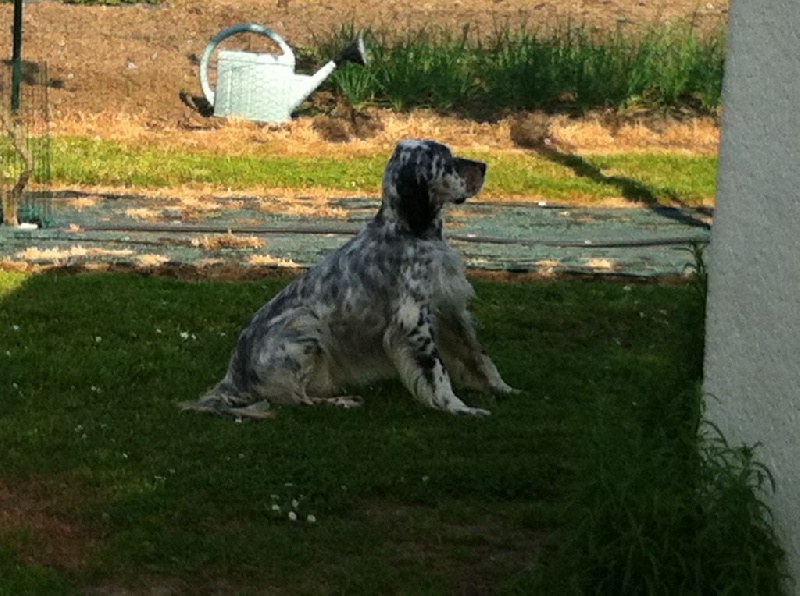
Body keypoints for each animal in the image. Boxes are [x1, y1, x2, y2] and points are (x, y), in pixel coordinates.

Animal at [180, 139, 516, 420]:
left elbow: (479, 356)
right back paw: (341, 401)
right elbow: (438, 372)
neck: (411, 230)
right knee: (297, 399)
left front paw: (504, 389)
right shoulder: (413, 320)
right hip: (306, 325)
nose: (483, 166)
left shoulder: (449, 308)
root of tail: (233, 377)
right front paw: (459, 408)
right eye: (445, 160)